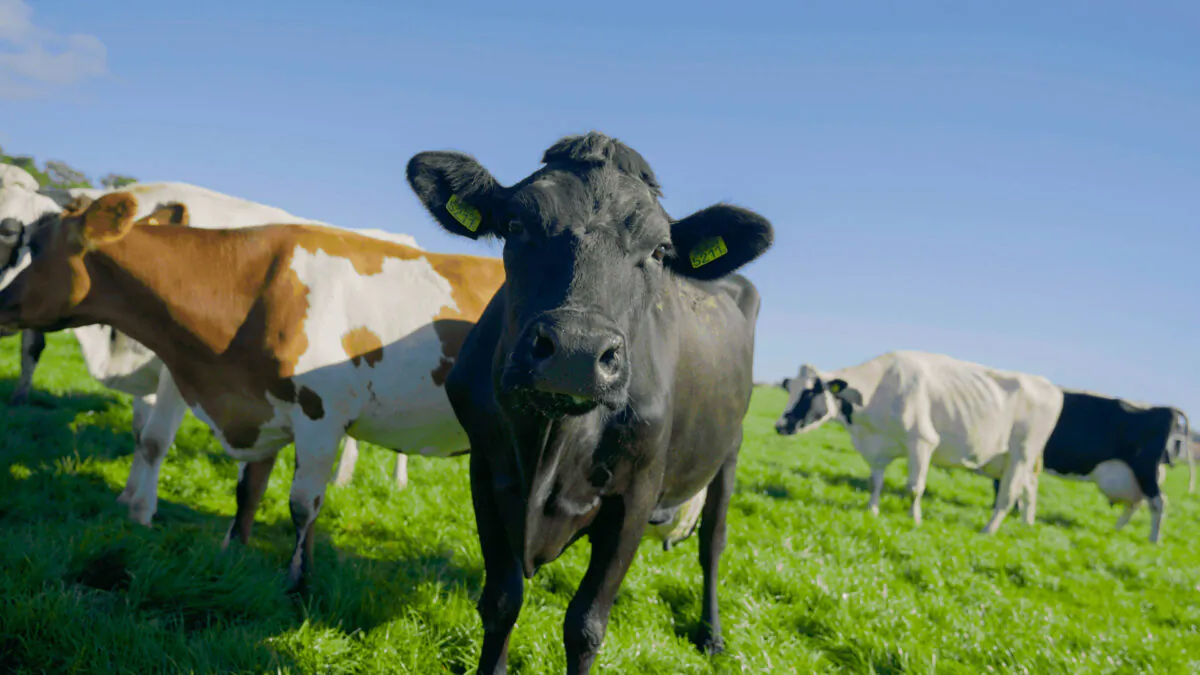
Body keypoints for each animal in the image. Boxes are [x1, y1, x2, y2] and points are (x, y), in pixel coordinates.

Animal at [5, 182, 416, 492]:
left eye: (14, 234)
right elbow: (140, 434)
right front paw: (130, 495)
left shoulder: (178, 370)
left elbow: (154, 439)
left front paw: (140, 511)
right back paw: (341, 477)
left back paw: (396, 481)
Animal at [405, 131, 774, 674]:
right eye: (515, 225)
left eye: (660, 251)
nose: (575, 352)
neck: (550, 442)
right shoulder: (486, 471)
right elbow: (501, 602)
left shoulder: (636, 494)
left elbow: (585, 626)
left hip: (730, 449)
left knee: (713, 543)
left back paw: (712, 634)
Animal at [774, 351, 1064, 533]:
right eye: (790, 389)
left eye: (809, 392)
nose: (779, 425)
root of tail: (1050, 387)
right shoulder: (877, 448)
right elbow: (875, 482)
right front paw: (872, 510)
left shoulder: (922, 441)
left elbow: (915, 487)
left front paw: (914, 519)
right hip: (1012, 460)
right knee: (1029, 488)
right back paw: (1027, 525)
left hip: (1021, 454)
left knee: (1008, 495)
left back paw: (988, 530)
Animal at [989, 389, 1192, 543]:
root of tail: (1166, 409)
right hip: (1138, 476)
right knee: (1137, 503)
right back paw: (1116, 530)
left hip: (1145, 470)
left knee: (1158, 502)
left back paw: (1153, 540)